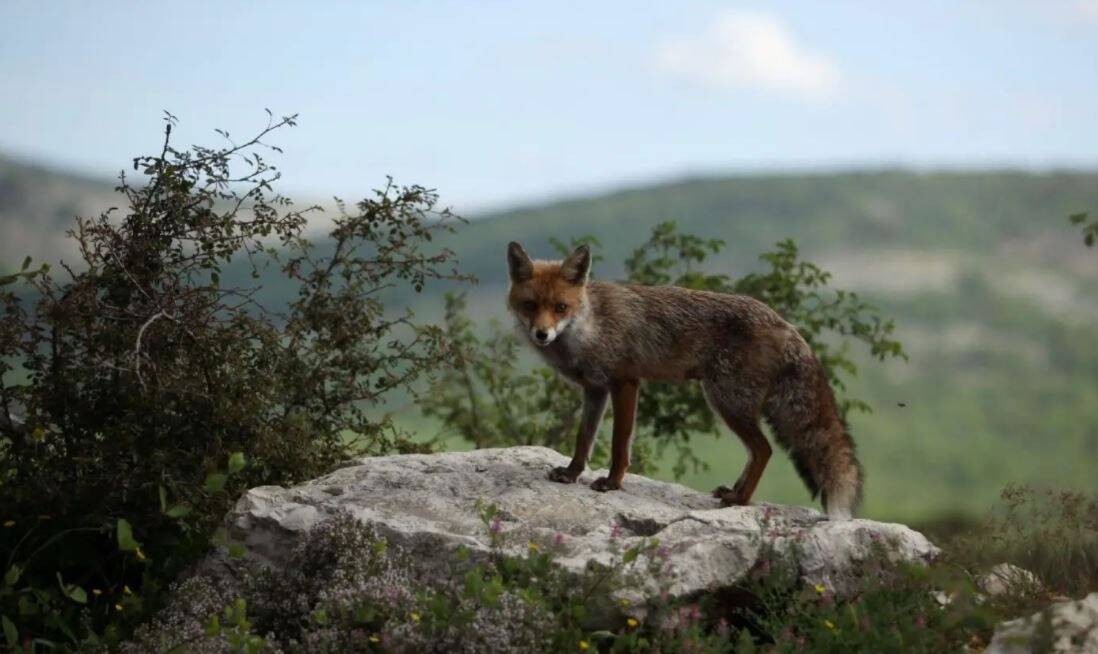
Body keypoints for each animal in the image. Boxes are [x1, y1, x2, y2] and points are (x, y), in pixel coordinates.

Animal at [507, 240, 865, 520]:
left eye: (560, 307)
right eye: (530, 305)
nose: (542, 334)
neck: (590, 327)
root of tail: (787, 325)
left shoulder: (624, 382)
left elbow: (619, 444)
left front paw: (612, 483)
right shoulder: (595, 389)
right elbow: (584, 439)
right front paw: (571, 473)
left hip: (726, 401)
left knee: (764, 450)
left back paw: (740, 499)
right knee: (757, 452)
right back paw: (734, 492)